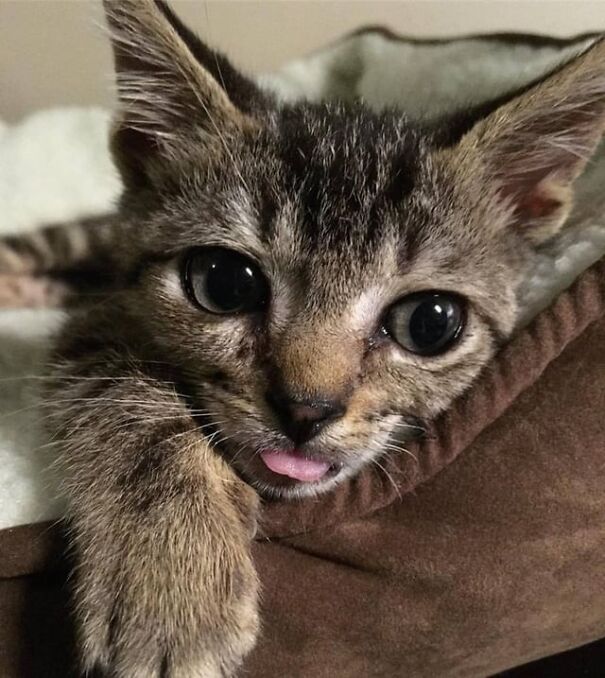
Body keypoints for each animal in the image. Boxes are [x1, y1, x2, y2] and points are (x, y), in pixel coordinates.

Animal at [1, 2, 604, 676]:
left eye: (430, 323)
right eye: (223, 283)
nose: (306, 411)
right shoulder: (101, 318)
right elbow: (131, 401)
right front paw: (172, 585)